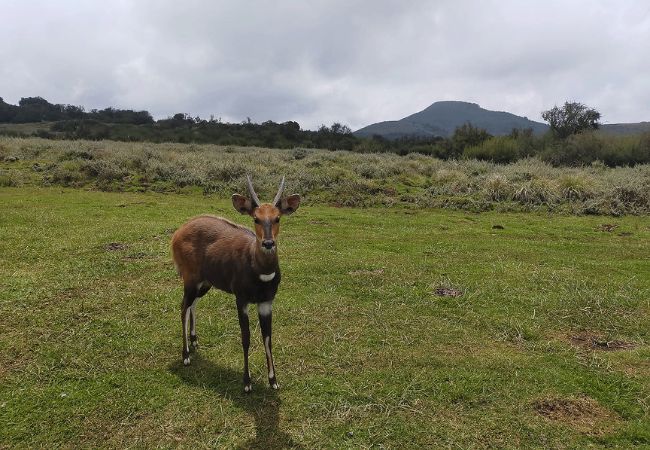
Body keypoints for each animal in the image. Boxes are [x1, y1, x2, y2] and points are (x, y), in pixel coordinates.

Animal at [168, 174, 298, 392]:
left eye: (277, 218)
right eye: (256, 218)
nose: (268, 243)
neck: (260, 271)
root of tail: (178, 232)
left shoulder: (266, 303)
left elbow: (267, 338)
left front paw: (273, 380)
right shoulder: (241, 300)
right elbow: (246, 338)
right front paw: (247, 382)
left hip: (204, 283)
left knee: (192, 304)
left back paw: (194, 342)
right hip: (190, 280)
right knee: (183, 307)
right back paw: (185, 356)